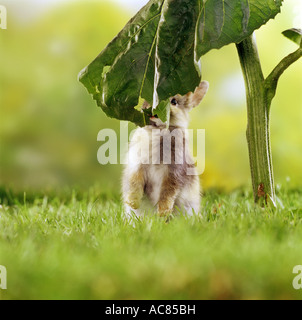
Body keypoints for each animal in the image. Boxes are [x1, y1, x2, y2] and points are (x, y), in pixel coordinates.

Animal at [121, 81, 209, 220]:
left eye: (174, 101)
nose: (153, 112)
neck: (158, 130)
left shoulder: (173, 171)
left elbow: (168, 192)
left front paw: (163, 212)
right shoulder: (137, 165)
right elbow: (135, 183)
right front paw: (132, 202)